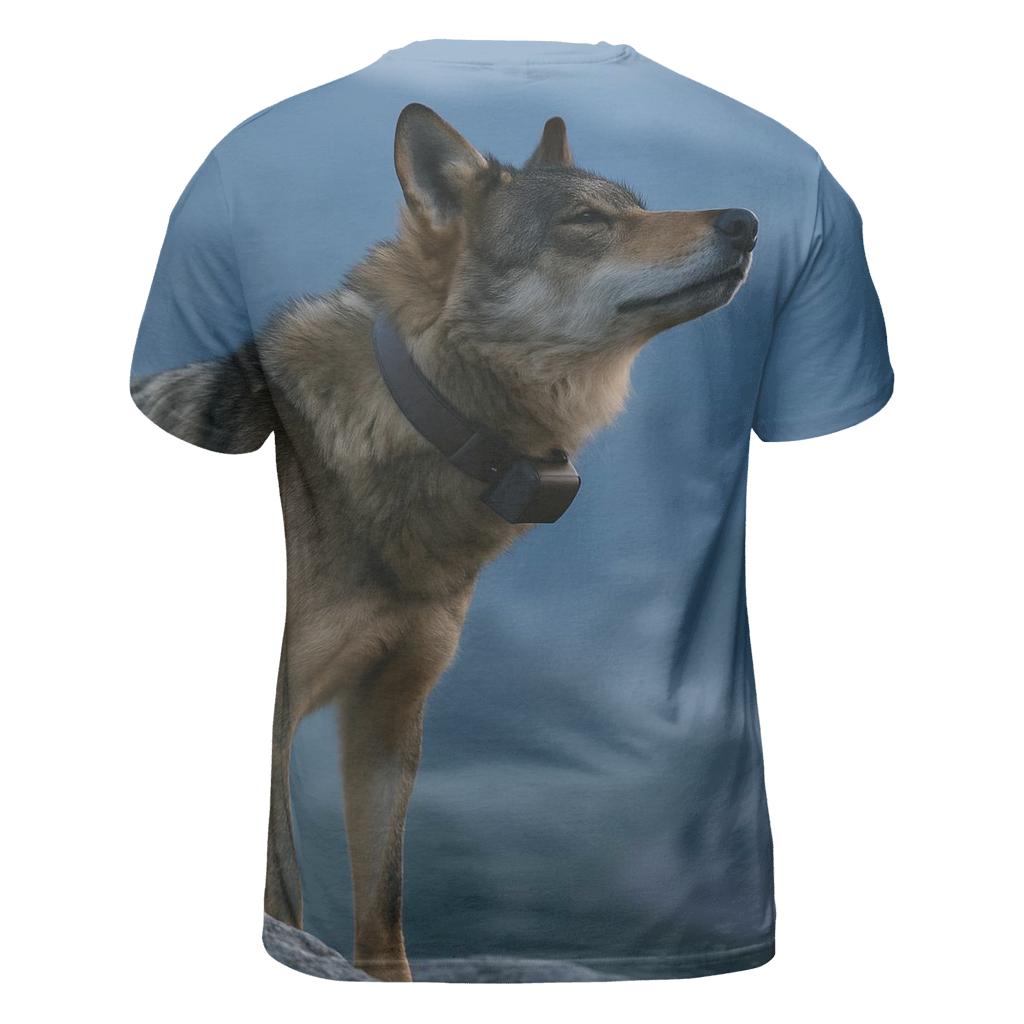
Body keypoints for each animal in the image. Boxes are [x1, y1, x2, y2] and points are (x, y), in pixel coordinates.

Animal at [131, 103, 757, 980]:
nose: (745, 222)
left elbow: (383, 910)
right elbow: (286, 889)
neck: (426, 414)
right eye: (587, 221)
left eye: (637, 207)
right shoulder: (289, 719)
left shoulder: (389, 713)